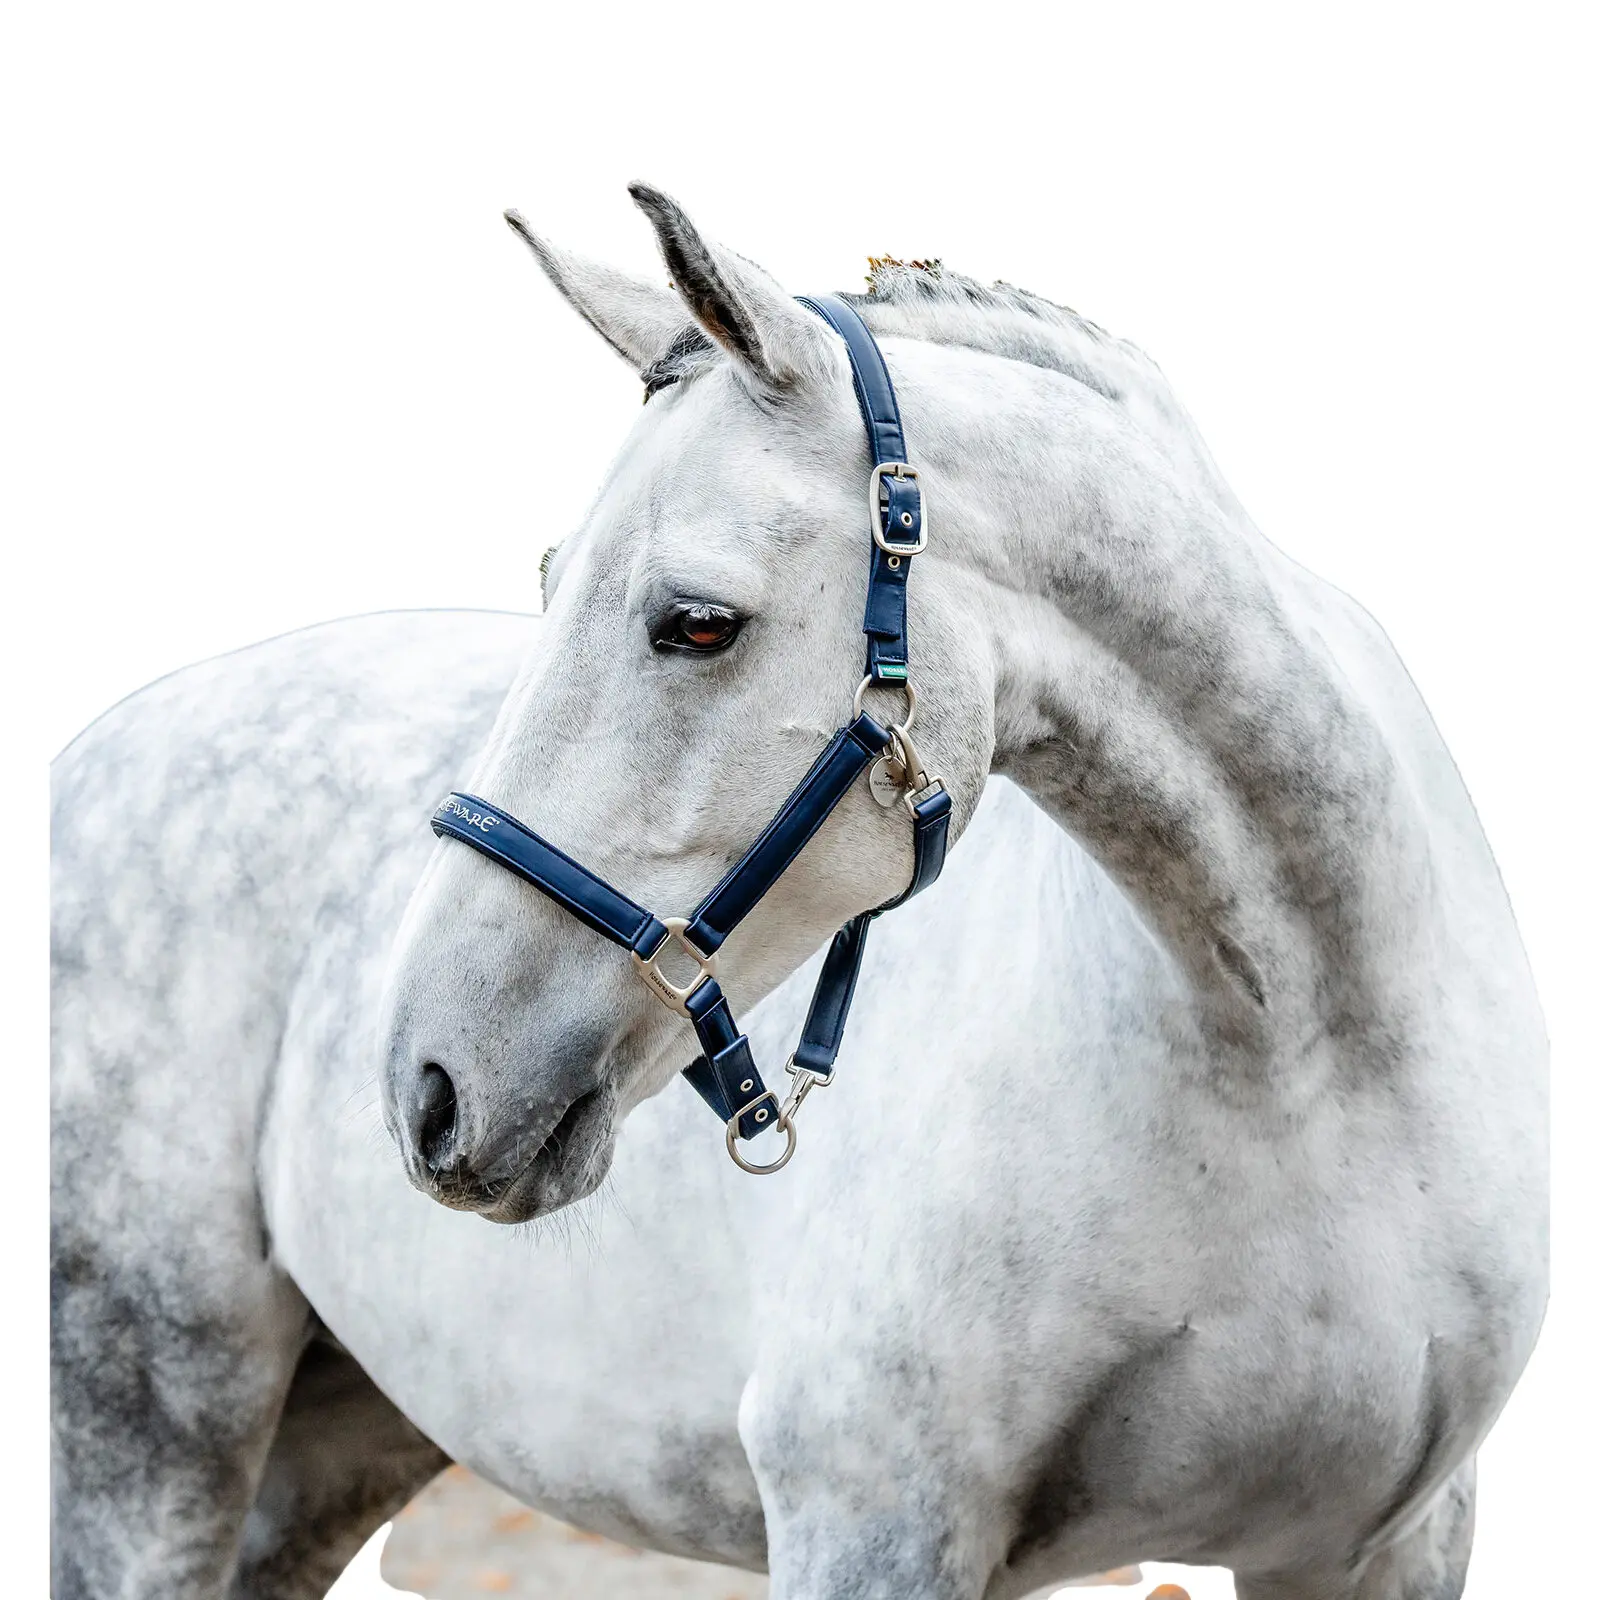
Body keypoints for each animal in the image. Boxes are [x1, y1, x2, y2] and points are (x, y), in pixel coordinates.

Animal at [50, 184, 1546, 1600]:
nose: (432, 1084)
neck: (1303, 1068)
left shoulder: (1378, 1547)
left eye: (699, 622)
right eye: (548, 579)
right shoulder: (874, 1524)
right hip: (155, 1423)